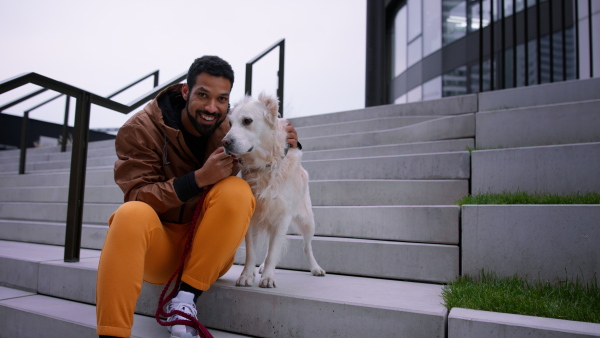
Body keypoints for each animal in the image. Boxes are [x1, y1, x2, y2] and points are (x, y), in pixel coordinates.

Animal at [223, 93, 326, 288]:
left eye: (247, 121)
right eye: (230, 124)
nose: (224, 142)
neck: (266, 166)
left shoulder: (282, 218)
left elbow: (273, 252)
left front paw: (268, 278)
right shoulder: (253, 217)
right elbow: (251, 252)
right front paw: (247, 275)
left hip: (308, 221)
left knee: (306, 246)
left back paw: (316, 268)